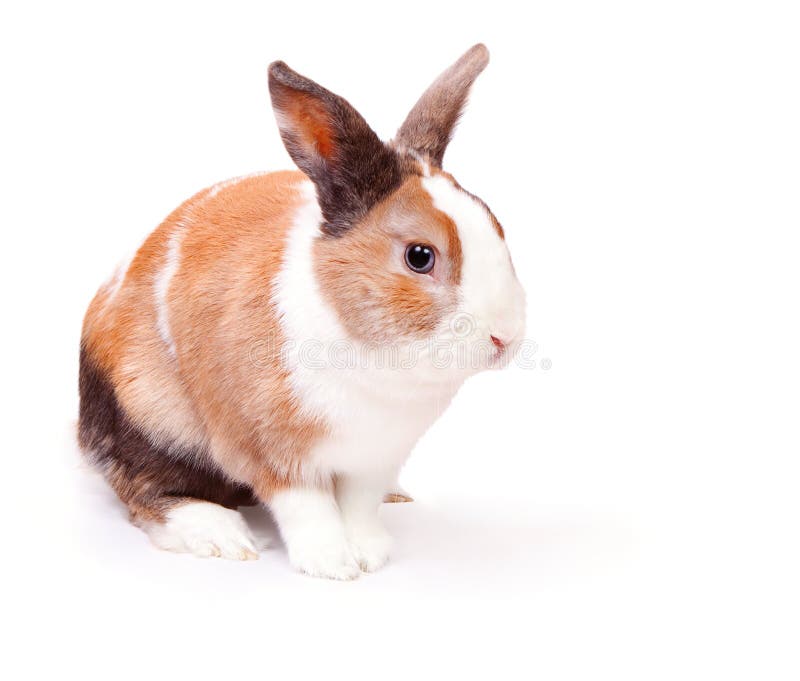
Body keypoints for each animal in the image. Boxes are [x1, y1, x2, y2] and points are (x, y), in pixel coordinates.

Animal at [75, 42, 524, 576]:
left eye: (498, 227)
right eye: (420, 256)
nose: (505, 337)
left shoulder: (375, 459)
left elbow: (358, 506)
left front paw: (370, 553)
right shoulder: (274, 452)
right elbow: (308, 509)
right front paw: (333, 565)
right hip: (150, 414)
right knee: (146, 489)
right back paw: (220, 534)